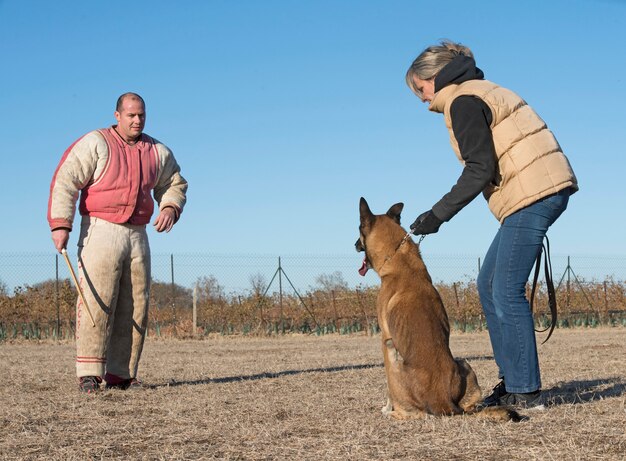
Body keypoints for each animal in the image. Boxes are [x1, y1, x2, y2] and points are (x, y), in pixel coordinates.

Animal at [354, 198, 520, 420]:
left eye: (359, 230)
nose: (354, 244)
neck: (399, 258)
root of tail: (444, 402)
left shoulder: (385, 337)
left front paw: (386, 408)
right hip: (464, 364)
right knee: (469, 406)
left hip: (392, 353)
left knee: (412, 412)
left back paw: (392, 413)